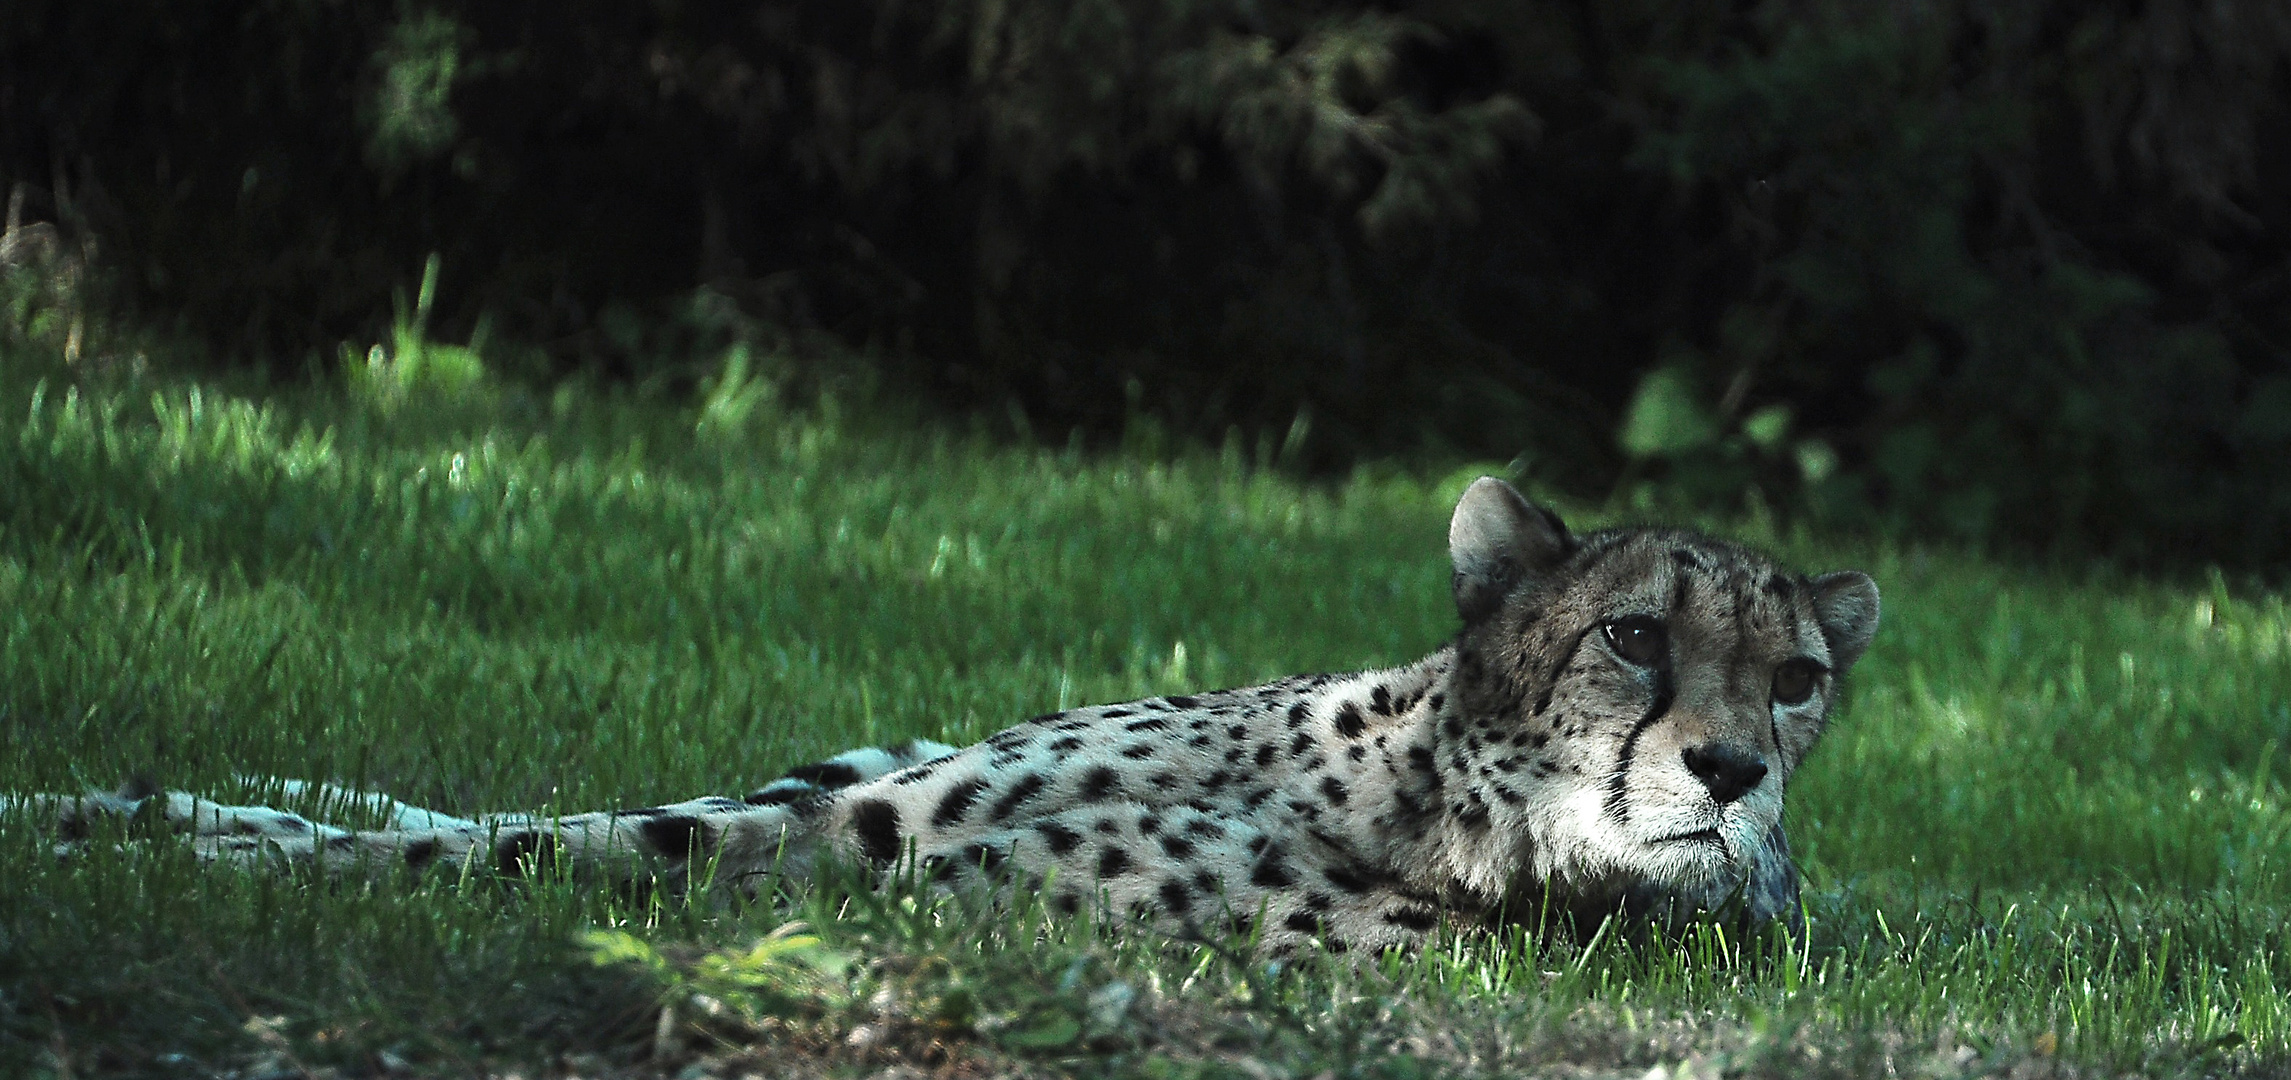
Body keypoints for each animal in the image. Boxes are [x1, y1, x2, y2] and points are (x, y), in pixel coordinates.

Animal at [17, 481, 1878, 953]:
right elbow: (517, 820)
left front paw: (147, 853)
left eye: (1793, 680)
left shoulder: (875, 852)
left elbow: (564, 850)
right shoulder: (889, 796)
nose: (1731, 771)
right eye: (1635, 636)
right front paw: (130, 814)